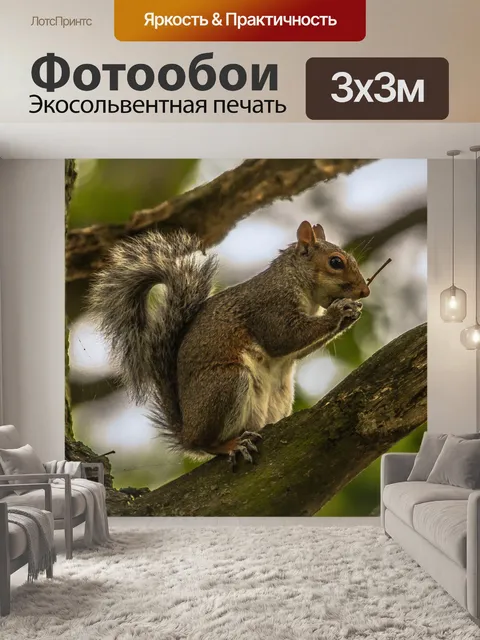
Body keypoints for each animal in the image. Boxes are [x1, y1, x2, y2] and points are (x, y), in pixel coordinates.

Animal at [88, 220, 370, 466]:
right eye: (336, 262)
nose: (364, 291)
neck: (297, 282)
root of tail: (187, 431)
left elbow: (298, 349)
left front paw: (351, 314)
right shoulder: (269, 306)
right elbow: (283, 338)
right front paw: (339, 312)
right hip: (227, 383)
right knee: (207, 444)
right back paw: (231, 445)